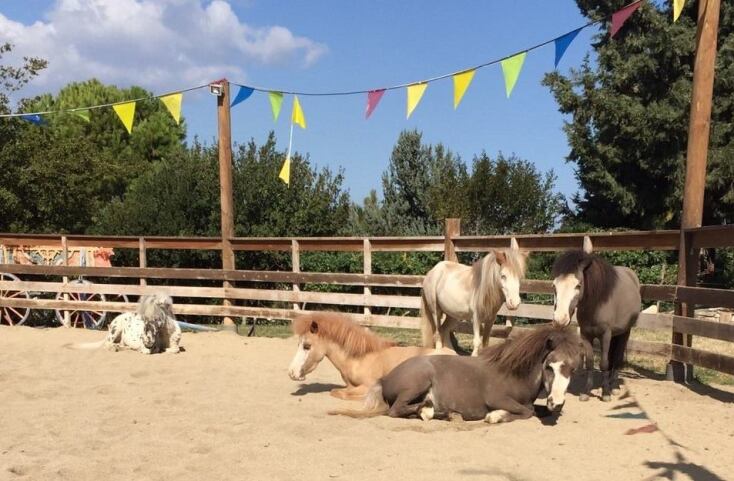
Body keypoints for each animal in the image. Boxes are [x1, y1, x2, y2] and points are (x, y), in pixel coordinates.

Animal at [288, 312, 455, 400]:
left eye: (307, 346)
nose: (292, 373)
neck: (360, 358)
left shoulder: (368, 386)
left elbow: (340, 393)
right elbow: (339, 391)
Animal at [330, 325, 583, 423]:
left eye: (573, 369)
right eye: (549, 366)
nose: (557, 403)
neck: (513, 372)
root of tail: (385, 378)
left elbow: (536, 409)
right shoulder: (498, 399)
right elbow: (526, 411)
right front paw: (495, 416)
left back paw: (444, 413)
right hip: (418, 382)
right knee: (397, 410)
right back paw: (431, 411)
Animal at [551, 243, 641, 402]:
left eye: (578, 285)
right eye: (554, 286)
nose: (560, 319)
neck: (596, 304)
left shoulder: (605, 335)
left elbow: (604, 363)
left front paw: (605, 393)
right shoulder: (586, 335)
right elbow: (590, 363)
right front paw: (586, 392)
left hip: (625, 332)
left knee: (617, 358)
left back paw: (614, 386)